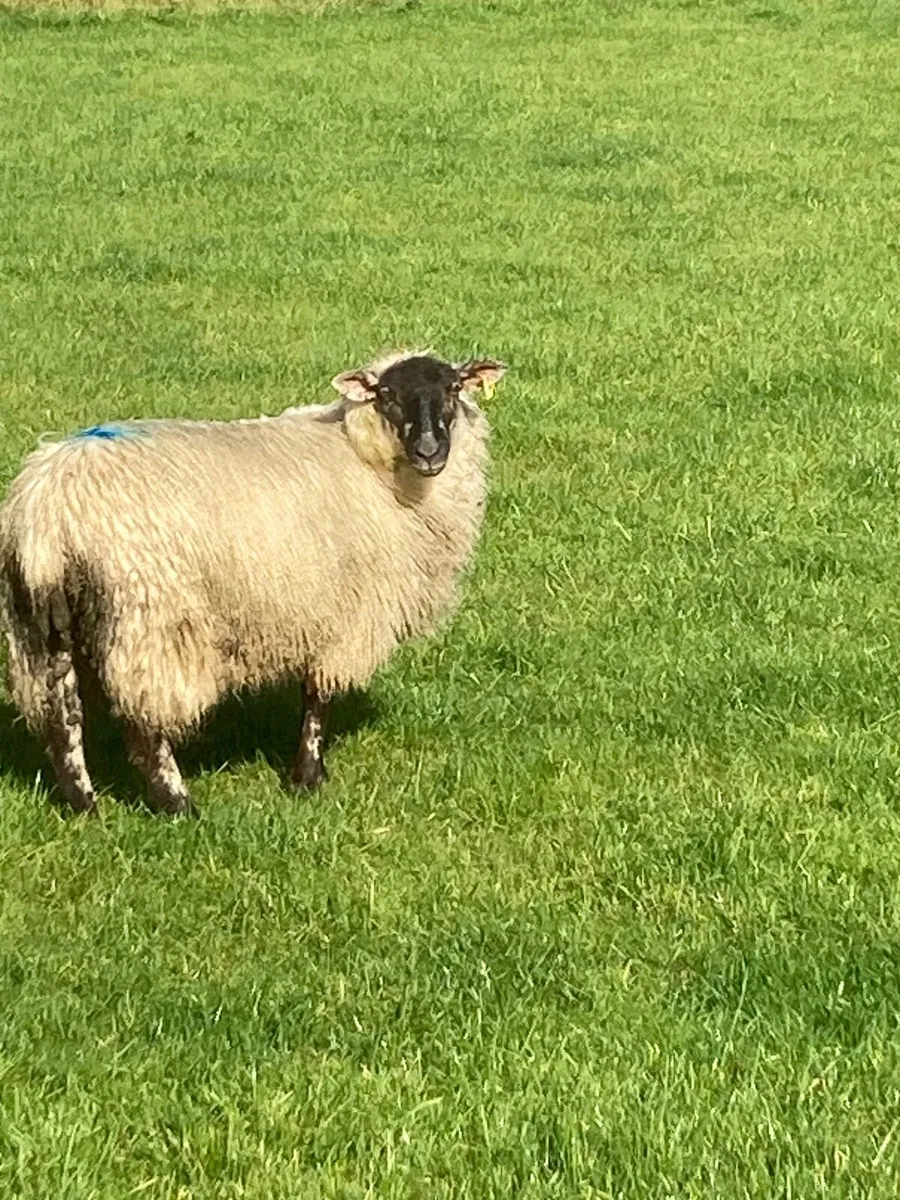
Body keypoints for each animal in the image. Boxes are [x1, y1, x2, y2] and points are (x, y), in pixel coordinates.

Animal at [0, 350, 507, 817]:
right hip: (152, 617)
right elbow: (318, 696)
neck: (366, 460)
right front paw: (306, 777)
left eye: (454, 389)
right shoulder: (342, 612)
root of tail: (48, 508)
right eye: (387, 395)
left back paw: (83, 805)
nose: (429, 451)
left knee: (62, 717)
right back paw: (178, 804)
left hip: (43, 626)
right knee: (145, 726)